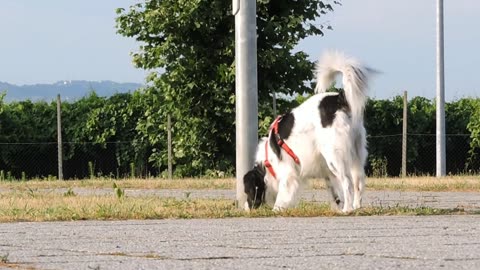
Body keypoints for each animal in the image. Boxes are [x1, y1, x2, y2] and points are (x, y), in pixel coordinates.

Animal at [244, 51, 372, 213]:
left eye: (247, 191)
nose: (245, 208)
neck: (267, 161)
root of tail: (338, 98)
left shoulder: (288, 174)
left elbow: (282, 196)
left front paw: (276, 210)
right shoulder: (327, 174)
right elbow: (335, 195)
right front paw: (336, 207)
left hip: (334, 155)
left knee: (347, 182)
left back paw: (347, 210)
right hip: (356, 154)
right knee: (358, 182)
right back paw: (356, 207)